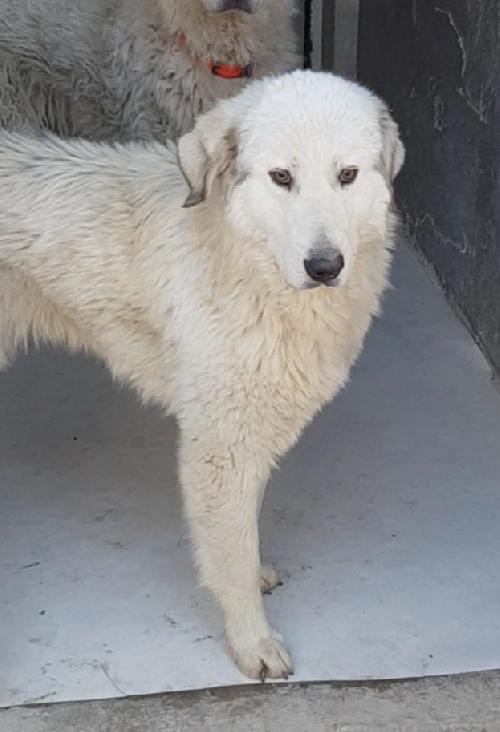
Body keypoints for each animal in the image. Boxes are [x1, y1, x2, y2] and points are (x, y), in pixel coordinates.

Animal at [0, 70, 404, 679]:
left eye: (347, 175)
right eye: (281, 177)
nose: (324, 267)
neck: (247, 264)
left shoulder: (250, 429)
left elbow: (244, 526)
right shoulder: (219, 445)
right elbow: (230, 552)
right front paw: (253, 642)